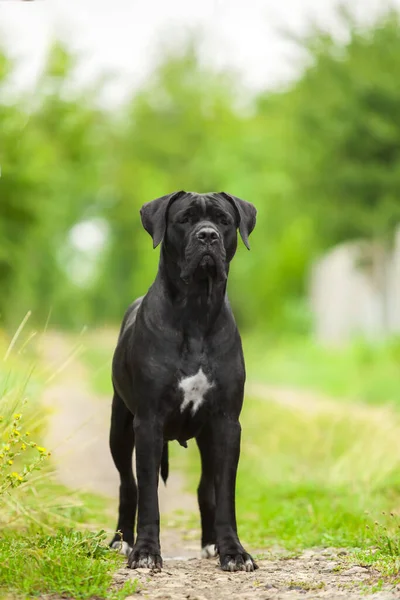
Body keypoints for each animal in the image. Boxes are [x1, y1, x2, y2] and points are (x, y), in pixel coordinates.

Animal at [109, 191, 258, 572]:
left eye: (223, 220)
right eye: (185, 219)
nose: (207, 236)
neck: (196, 310)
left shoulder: (227, 424)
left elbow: (225, 494)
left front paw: (233, 551)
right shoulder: (148, 423)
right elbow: (148, 495)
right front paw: (145, 551)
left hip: (206, 435)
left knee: (206, 489)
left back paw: (210, 543)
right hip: (120, 429)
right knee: (128, 484)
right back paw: (121, 541)